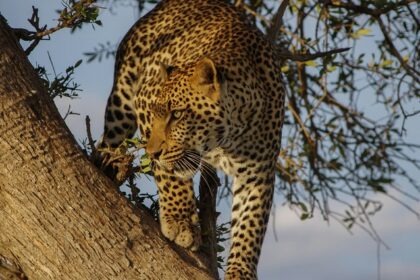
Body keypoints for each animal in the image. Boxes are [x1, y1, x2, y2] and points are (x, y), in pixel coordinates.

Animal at [99, 1, 286, 278]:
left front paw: (241, 270)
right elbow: (169, 175)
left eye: (177, 115)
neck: (227, 138)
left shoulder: (258, 172)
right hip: (121, 104)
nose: (152, 153)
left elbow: (251, 224)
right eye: (156, 113)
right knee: (107, 142)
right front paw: (180, 222)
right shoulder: (144, 99)